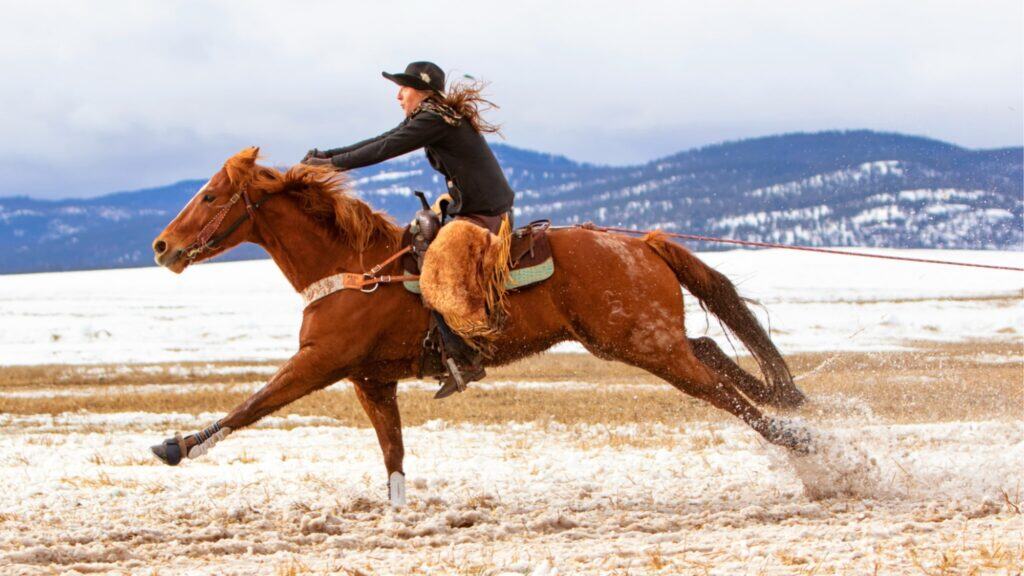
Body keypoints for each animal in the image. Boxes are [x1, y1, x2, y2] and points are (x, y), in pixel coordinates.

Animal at [149, 147, 808, 506]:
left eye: (210, 196)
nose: (161, 247)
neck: (356, 269)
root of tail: (639, 243)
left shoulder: (319, 363)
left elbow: (253, 405)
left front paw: (177, 445)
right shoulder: (370, 381)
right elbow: (393, 455)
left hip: (645, 345)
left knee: (723, 392)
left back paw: (803, 442)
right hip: (640, 340)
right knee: (711, 352)